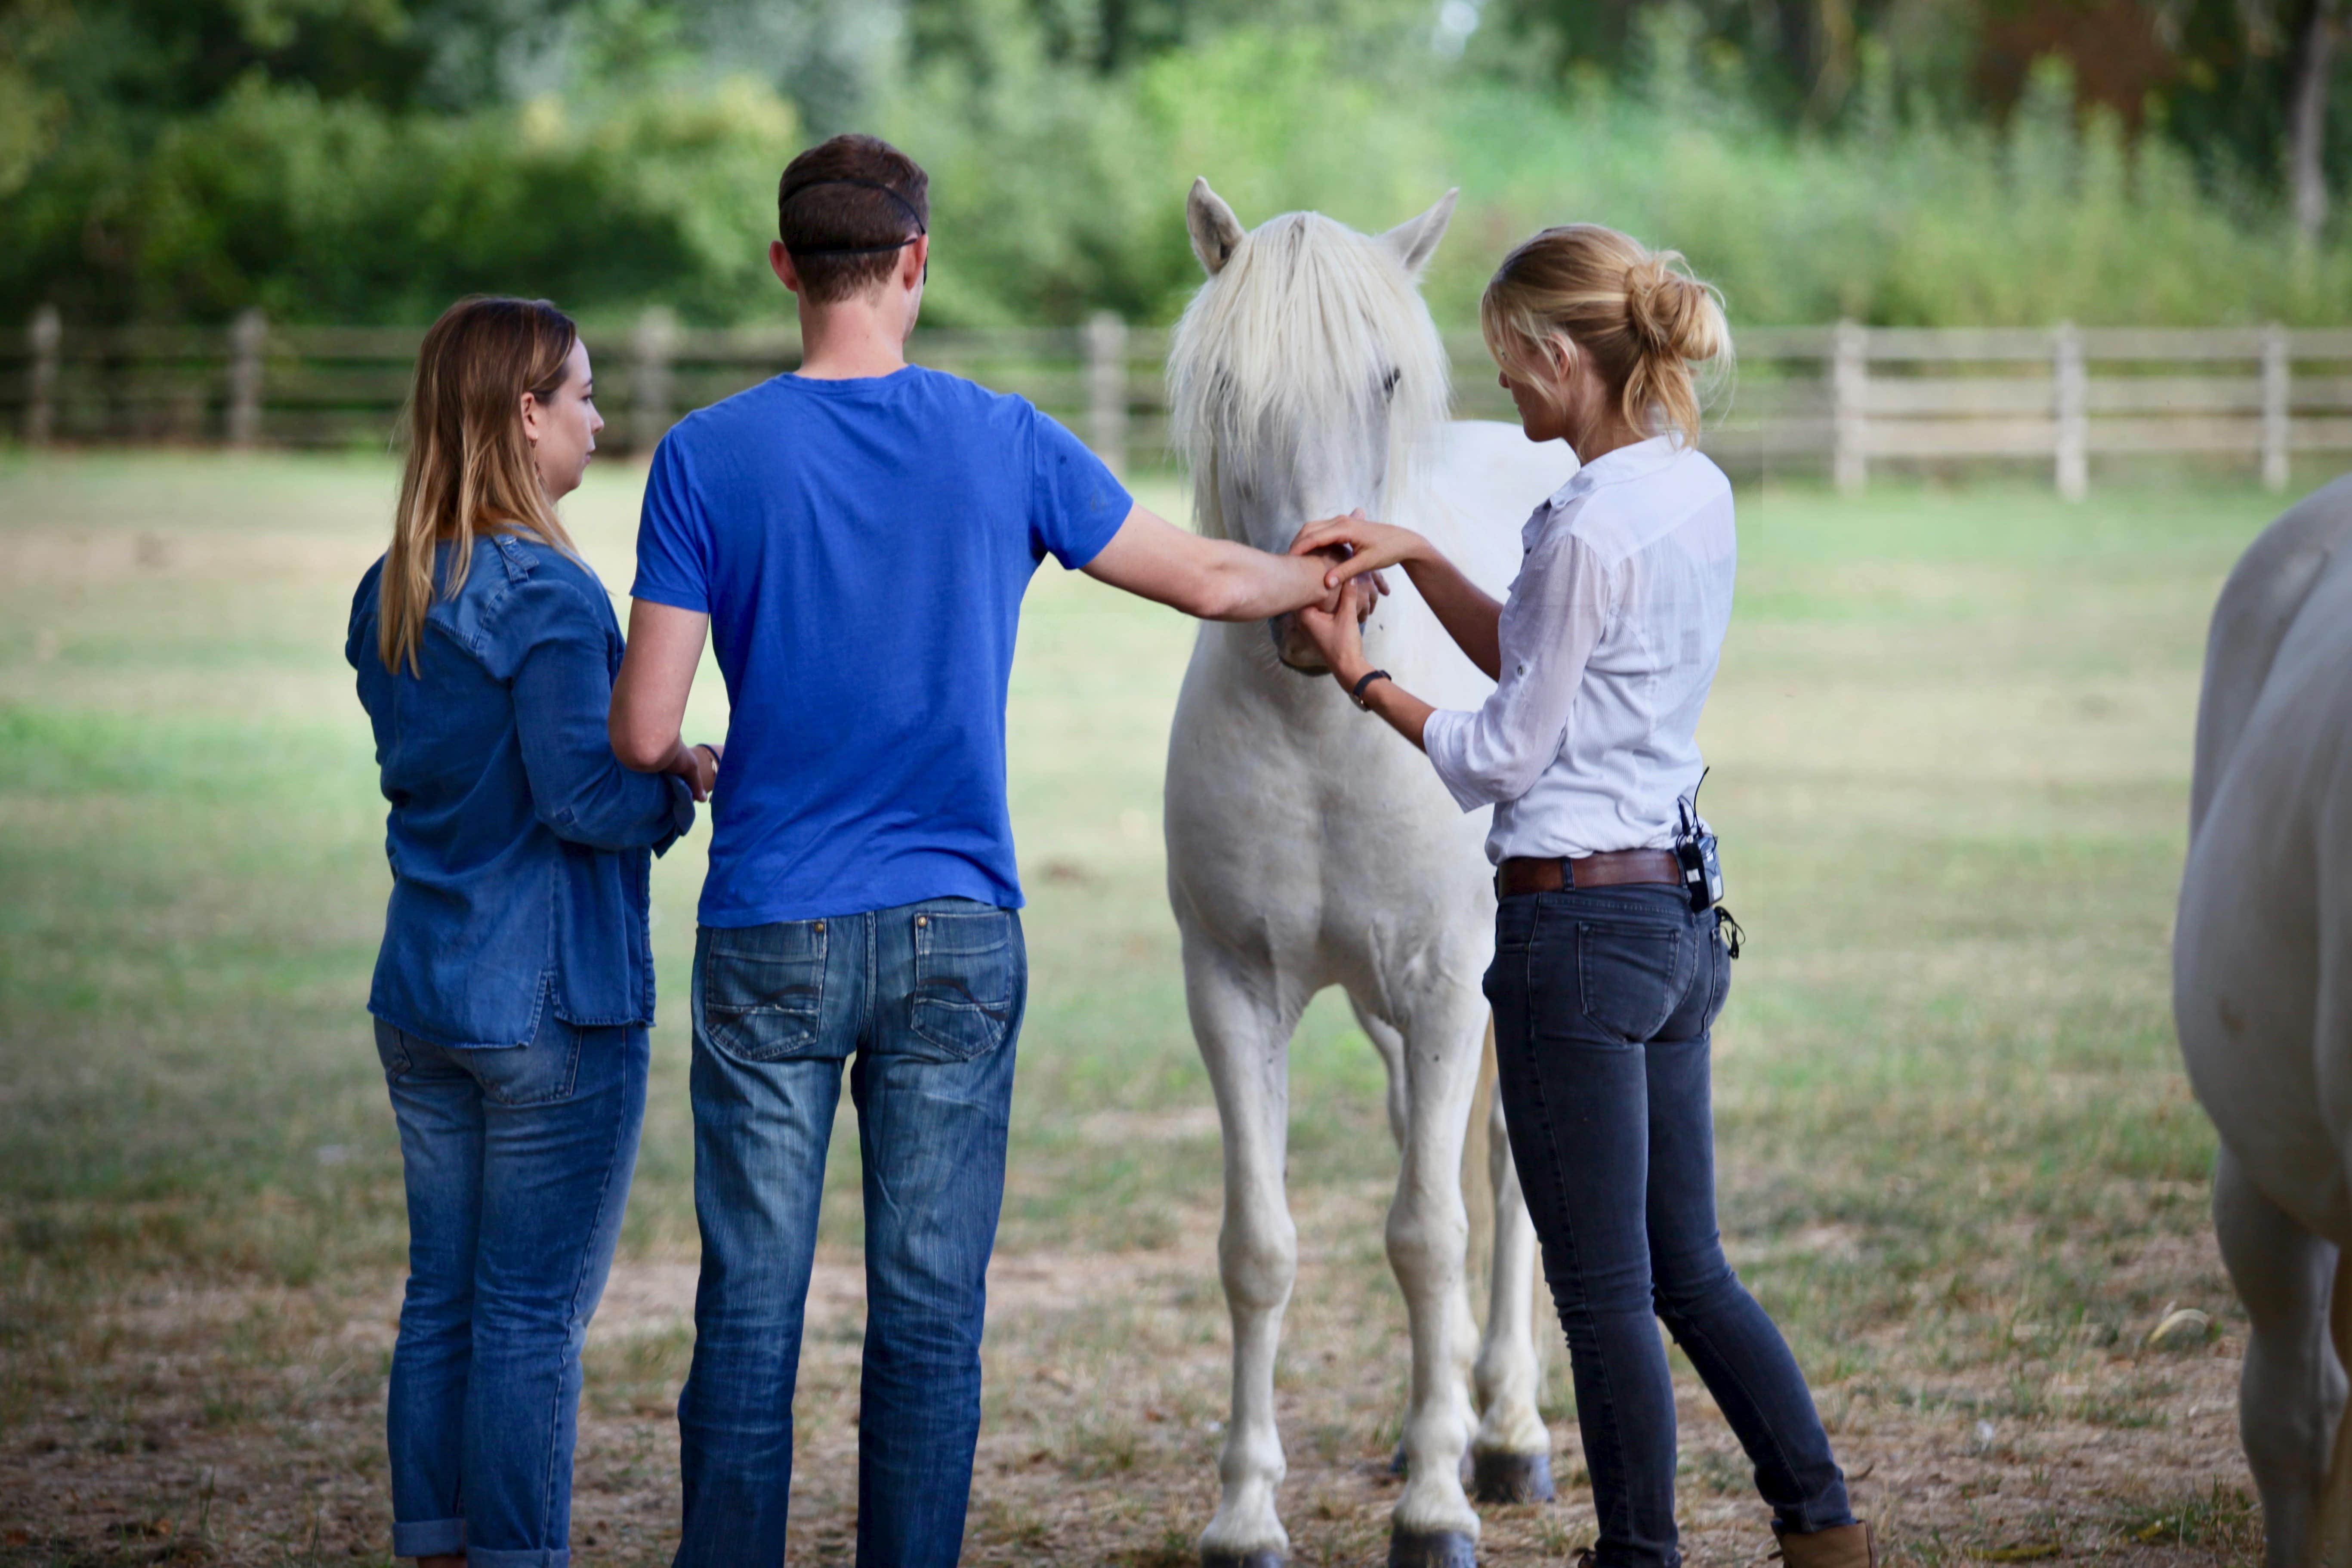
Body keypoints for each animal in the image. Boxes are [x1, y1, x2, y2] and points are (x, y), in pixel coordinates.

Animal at [1162, 178, 1578, 1568]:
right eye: (1230, 381)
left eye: (1384, 374)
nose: (1322, 593)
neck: (1321, 735)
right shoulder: (1234, 991)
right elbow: (1258, 1247)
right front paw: (1243, 1513)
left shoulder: (1450, 986)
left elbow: (1428, 1233)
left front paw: (1438, 1507)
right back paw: (1427, 1422)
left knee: (1499, 1173)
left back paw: (1503, 1433)